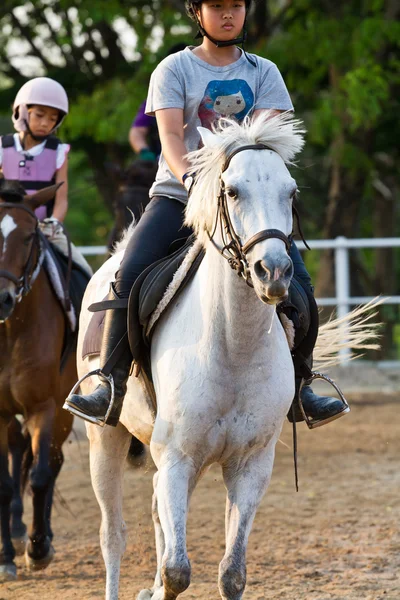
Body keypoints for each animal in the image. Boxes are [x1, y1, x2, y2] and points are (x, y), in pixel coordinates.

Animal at [74, 113, 376, 600]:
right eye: (232, 191)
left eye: (290, 192)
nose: (274, 272)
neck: (233, 347)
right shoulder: (178, 458)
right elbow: (177, 570)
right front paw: (162, 585)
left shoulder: (250, 465)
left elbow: (231, 573)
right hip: (106, 440)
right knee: (113, 535)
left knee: (156, 511)